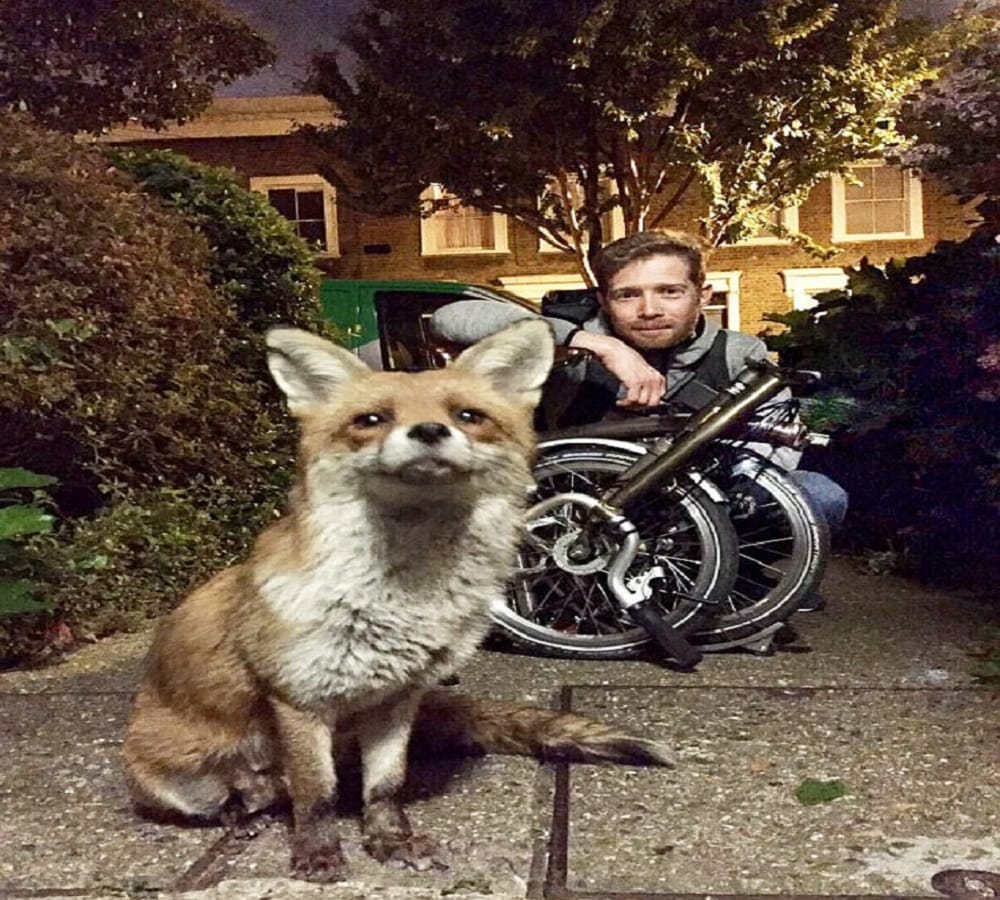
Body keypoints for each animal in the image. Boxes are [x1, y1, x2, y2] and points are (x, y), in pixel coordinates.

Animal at [122, 319, 674, 882]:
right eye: (371, 419)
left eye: (467, 416)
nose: (429, 432)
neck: (403, 597)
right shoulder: (298, 697)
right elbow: (315, 795)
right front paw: (318, 853)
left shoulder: (397, 698)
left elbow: (385, 786)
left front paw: (390, 839)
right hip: (173, 782)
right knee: (250, 798)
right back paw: (240, 815)